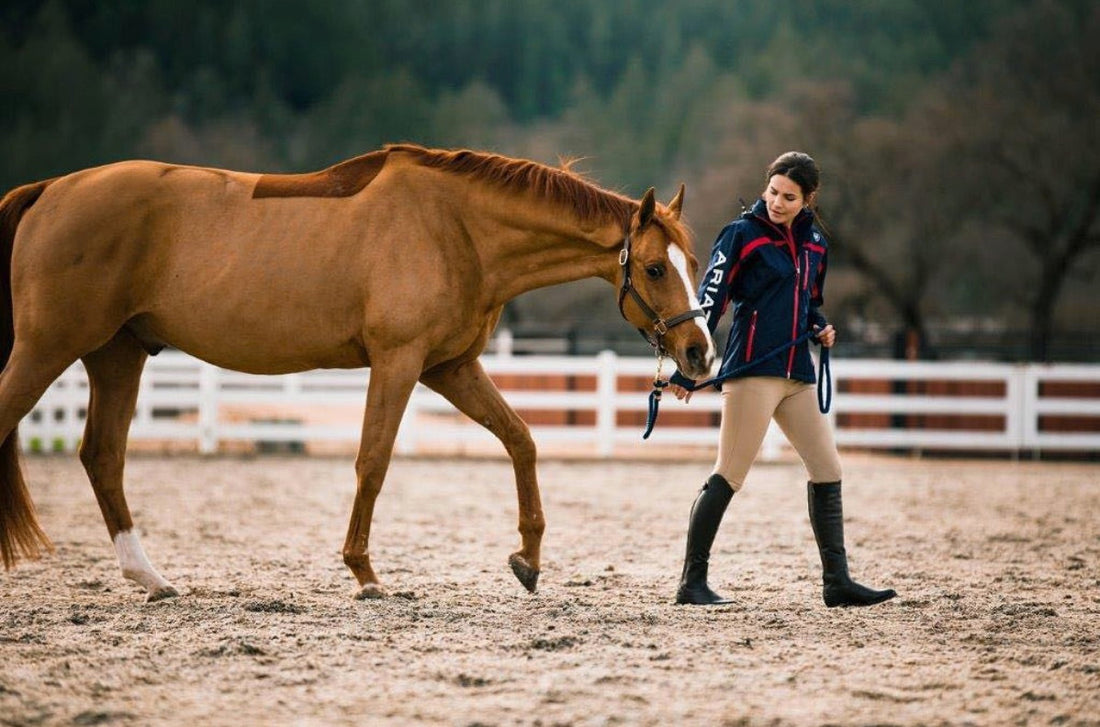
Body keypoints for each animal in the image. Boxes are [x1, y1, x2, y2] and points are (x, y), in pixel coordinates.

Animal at [0, 144, 715, 601]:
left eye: (691, 261)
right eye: (655, 268)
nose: (699, 354)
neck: (456, 228)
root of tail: (49, 191)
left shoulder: (450, 367)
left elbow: (521, 440)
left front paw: (528, 559)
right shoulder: (398, 361)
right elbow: (373, 460)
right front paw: (365, 574)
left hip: (116, 355)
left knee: (102, 457)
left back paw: (150, 579)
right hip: (47, 348)